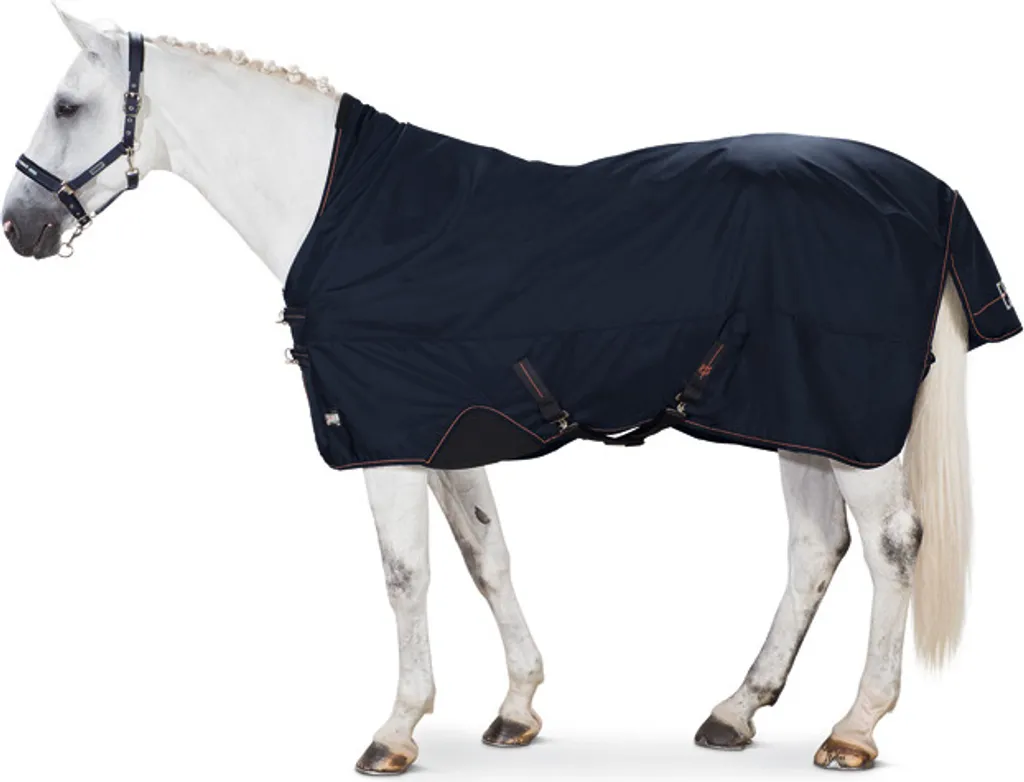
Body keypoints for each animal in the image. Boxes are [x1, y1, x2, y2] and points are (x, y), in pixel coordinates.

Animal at [3, 6, 1016, 775]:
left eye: (66, 104)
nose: (22, 227)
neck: (345, 211)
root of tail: (929, 194)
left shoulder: (391, 439)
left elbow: (406, 577)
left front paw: (396, 729)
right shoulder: (451, 432)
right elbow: (486, 560)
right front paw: (518, 708)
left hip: (851, 425)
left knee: (891, 547)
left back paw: (854, 728)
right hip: (803, 417)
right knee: (814, 549)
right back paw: (736, 710)